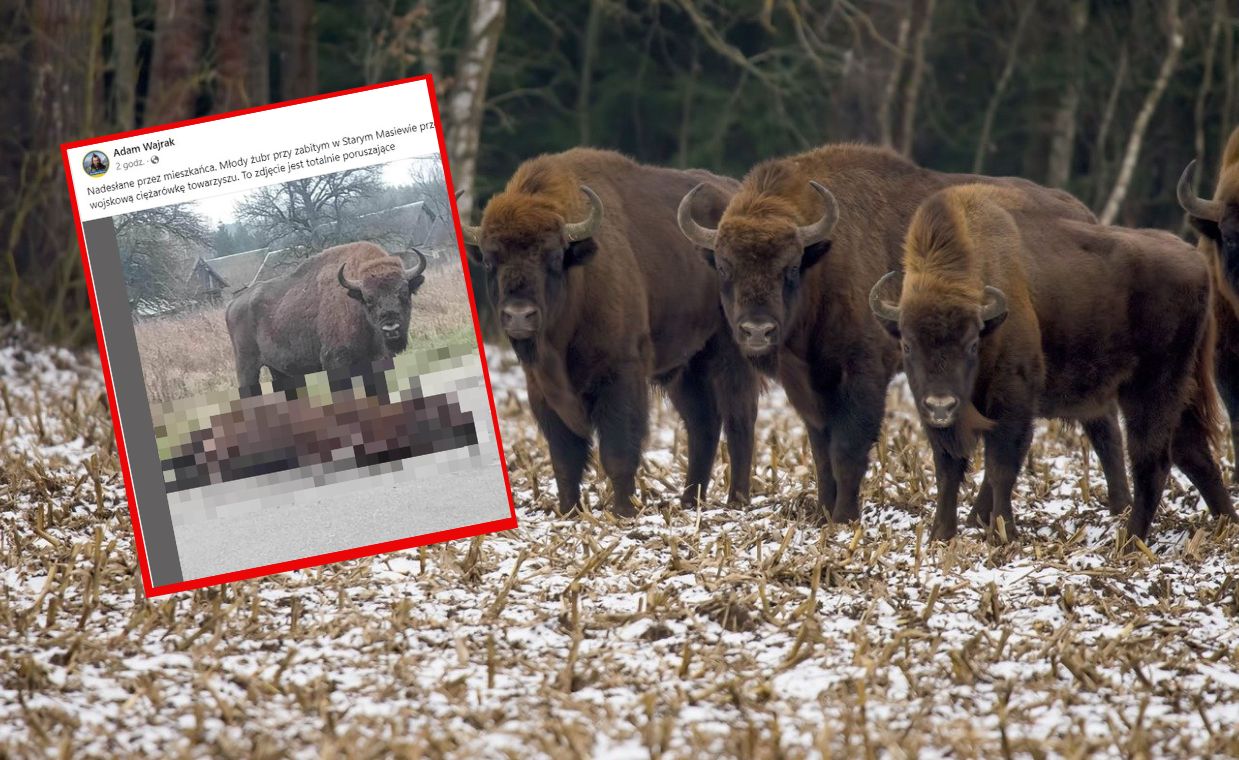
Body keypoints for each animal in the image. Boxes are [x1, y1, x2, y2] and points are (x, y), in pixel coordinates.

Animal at [226, 241, 426, 396]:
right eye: (368, 299)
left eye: (404, 293)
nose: (391, 328)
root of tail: (233, 304)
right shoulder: (335, 361)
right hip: (247, 368)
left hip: (279, 371)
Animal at [463, 146, 758, 515]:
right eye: (490, 260)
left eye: (554, 256)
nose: (519, 316)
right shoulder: (542, 389)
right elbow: (564, 458)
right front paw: (569, 510)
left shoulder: (620, 374)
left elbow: (617, 451)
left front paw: (623, 511)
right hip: (687, 366)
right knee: (702, 423)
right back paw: (690, 500)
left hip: (731, 350)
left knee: (739, 416)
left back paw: (737, 499)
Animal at [678, 143, 1134, 520]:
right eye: (724, 266)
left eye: (789, 267)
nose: (757, 331)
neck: (823, 262)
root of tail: (1085, 214)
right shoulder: (807, 384)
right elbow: (821, 451)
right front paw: (823, 513)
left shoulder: (864, 373)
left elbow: (847, 449)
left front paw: (844, 518)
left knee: (1101, 429)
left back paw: (1117, 507)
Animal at [867, 183, 1234, 540]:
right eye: (908, 345)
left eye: (972, 343)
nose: (941, 405)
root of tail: (1196, 260)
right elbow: (948, 469)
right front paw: (940, 535)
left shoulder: (1012, 401)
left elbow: (1001, 467)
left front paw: (1003, 534)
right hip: (1179, 390)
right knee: (1193, 453)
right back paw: (1225, 524)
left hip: (1152, 389)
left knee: (1152, 458)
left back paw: (1130, 541)